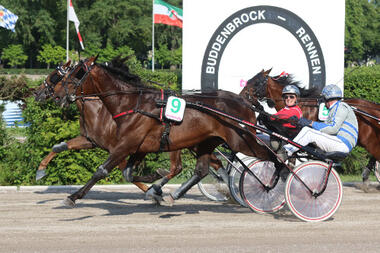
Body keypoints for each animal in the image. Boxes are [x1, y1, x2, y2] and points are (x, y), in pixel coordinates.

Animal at [51, 56, 270, 207]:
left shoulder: (126, 145)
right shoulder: (139, 147)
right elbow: (129, 174)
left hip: (240, 139)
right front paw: (154, 184)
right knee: (203, 169)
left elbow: (101, 171)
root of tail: (243, 101)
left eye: (76, 74)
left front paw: (73, 197)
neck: (132, 104)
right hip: (206, 142)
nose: (56, 95)